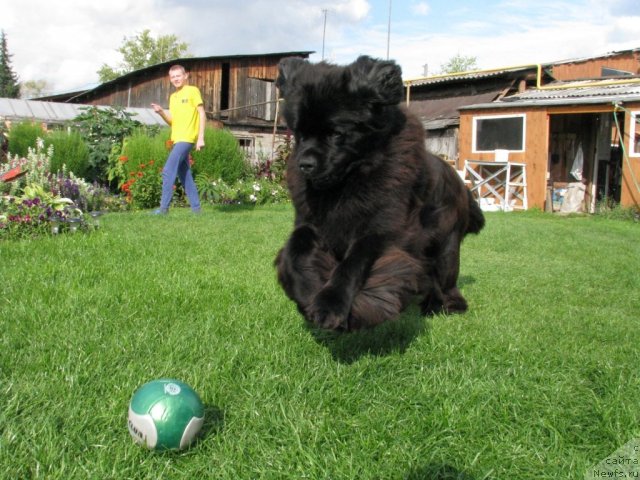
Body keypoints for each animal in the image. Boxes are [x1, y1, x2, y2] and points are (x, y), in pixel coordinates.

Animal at [272, 53, 482, 330]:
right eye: (300, 133)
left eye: (336, 133)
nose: (304, 164)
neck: (349, 182)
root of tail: (460, 181)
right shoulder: (311, 222)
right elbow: (297, 246)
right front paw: (306, 289)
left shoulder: (383, 229)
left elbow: (354, 262)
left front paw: (331, 306)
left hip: (447, 245)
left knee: (447, 280)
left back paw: (443, 305)